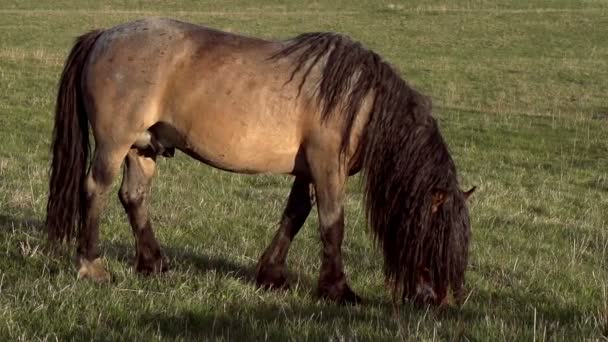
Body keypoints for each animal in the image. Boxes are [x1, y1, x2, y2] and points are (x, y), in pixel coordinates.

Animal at [47, 18, 476, 304]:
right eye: (437, 237)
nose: (441, 302)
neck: (360, 100)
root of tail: (104, 35)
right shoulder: (327, 167)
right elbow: (332, 225)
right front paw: (338, 289)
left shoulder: (307, 171)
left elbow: (295, 216)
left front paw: (272, 275)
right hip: (115, 144)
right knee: (96, 189)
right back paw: (92, 265)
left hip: (144, 148)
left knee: (134, 197)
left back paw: (154, 263)